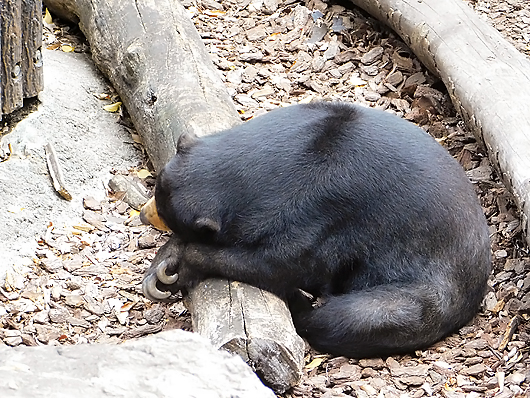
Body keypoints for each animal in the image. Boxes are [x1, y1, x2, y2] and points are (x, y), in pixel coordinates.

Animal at [138, 102, 488, 358]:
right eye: (157, 193)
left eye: (163, 211)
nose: (143, 214)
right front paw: (163, 265)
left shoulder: (322, 210)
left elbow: (284, 265)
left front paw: (183, 264)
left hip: (431, 290)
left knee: (356, 317)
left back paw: (303, 304)